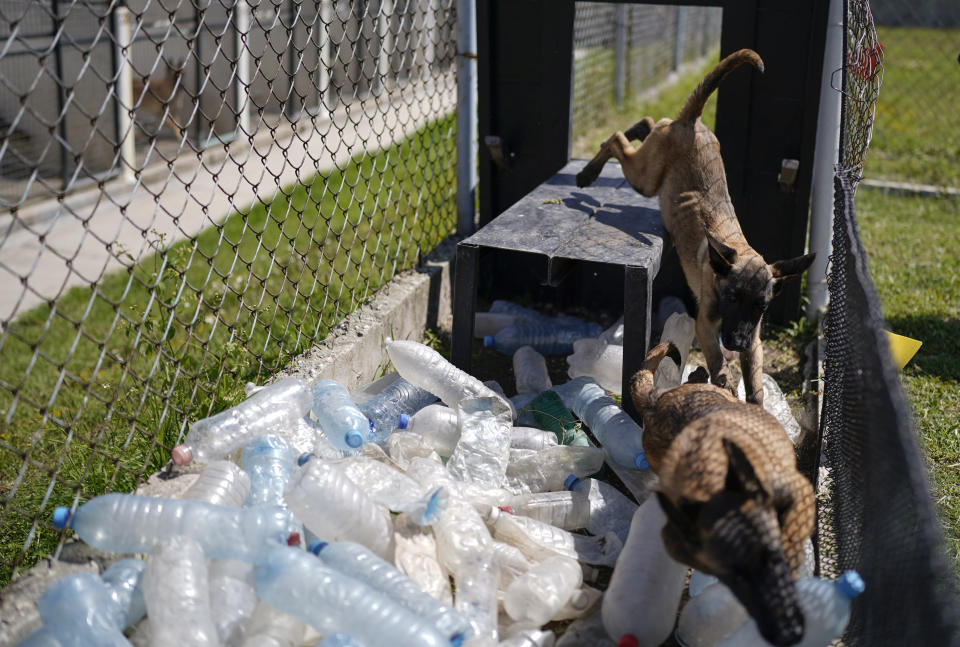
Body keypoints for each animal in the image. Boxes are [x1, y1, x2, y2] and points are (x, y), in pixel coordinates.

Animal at [572, 49, 812, 404]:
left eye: (761, 306)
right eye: (733, 297)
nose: (736, 343)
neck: (736, 250)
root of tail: (693, 122)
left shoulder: (754, 338)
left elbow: (755, 382)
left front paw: (755, 404)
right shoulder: (706, 325)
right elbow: (716, 359)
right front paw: (724, 383)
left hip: (652, 162)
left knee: (650, 123)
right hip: (645, 178)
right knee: (618, 140)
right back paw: (587, 173)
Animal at [632, 342, 812, 644]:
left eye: (771, 560)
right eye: (734, 579)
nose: (788, 633)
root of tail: (655, 401)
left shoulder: (799, 492)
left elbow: (791, 540)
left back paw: (699, 374)